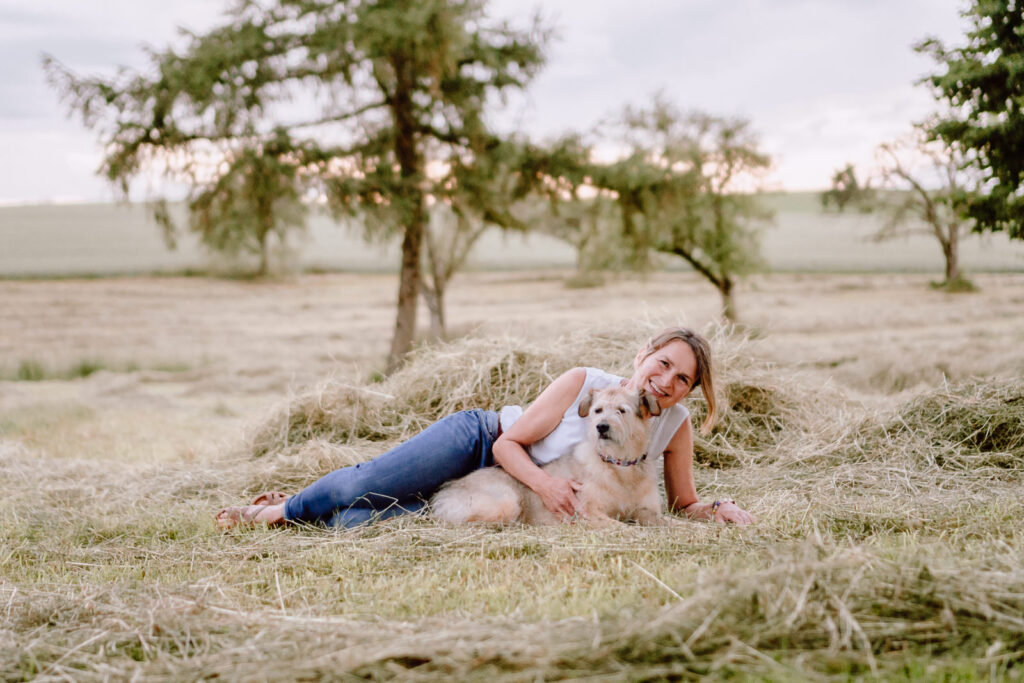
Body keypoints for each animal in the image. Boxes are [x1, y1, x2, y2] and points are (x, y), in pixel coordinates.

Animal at [430, 387, 679, 528]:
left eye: (622, 410)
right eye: (597, 410)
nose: (601, 427)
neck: (620, 465)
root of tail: (443, 491)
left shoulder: (647, 511)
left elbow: (674, 523)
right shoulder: (589, 512)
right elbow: (624, 529)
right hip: (506, 502)